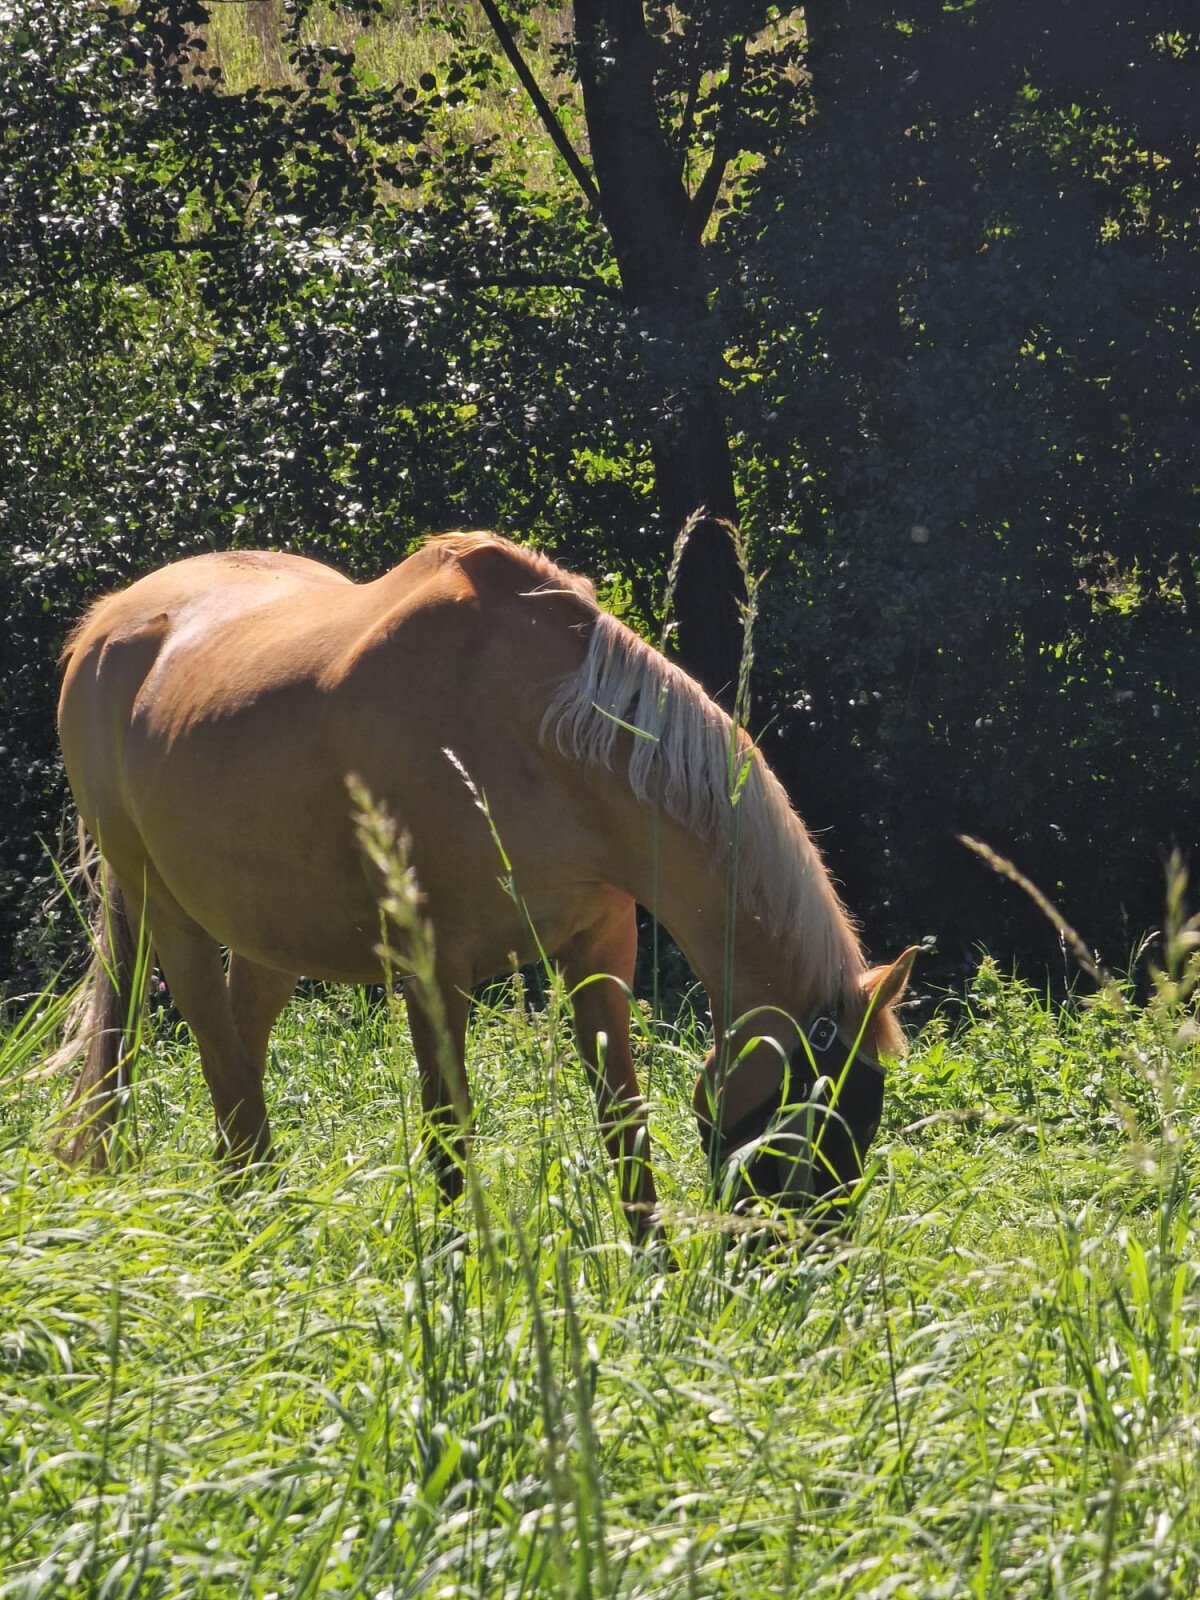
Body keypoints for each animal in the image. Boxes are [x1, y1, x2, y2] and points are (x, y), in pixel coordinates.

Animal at [54, 534, 908, 1235]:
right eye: (810, 1128)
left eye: (864, 1127)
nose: (794, 1267)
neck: (534, 735)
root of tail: (105, 627)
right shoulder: (434, 970)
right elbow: (450, 1140)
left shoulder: (600, 950)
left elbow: (624, 1125)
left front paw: (653, 1278)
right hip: (165, 913)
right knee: (218, 1061)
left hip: (267, 935)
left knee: (240, 1059)